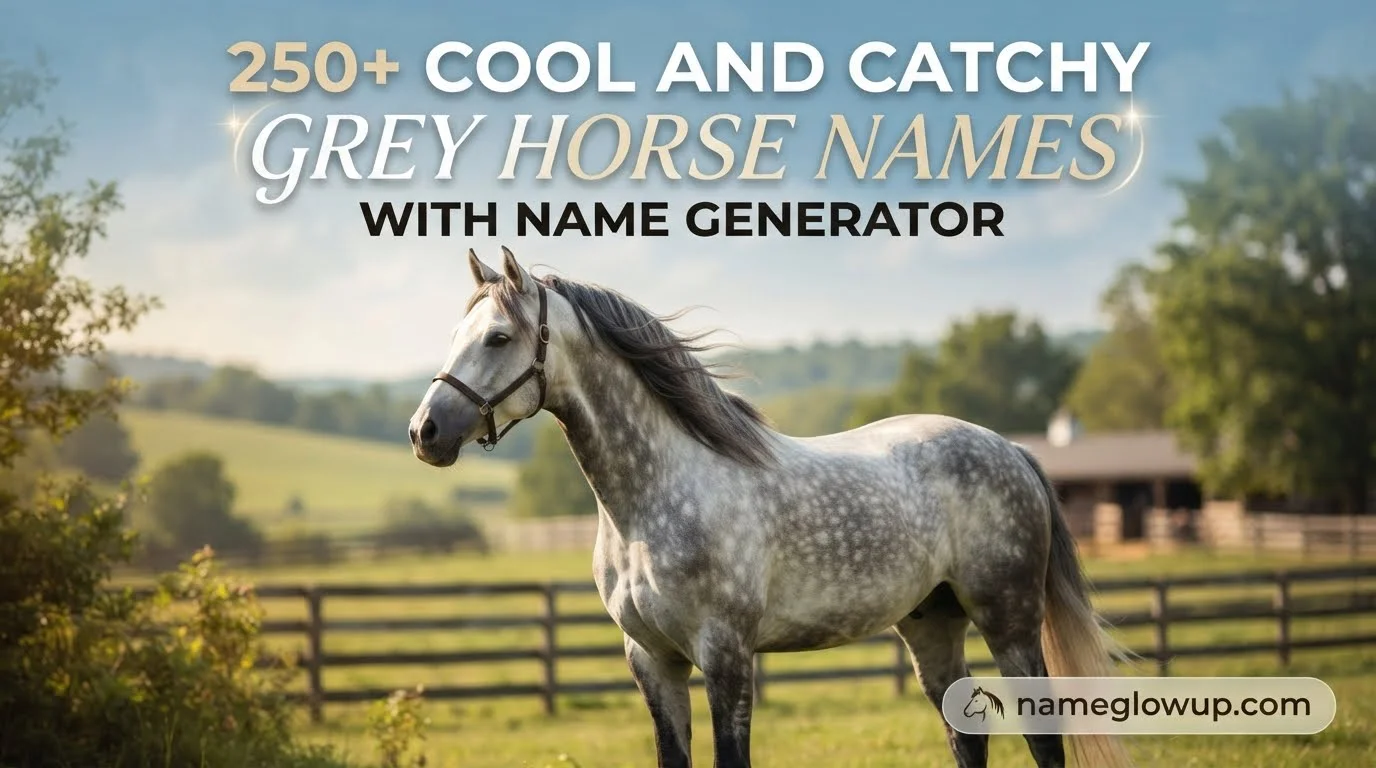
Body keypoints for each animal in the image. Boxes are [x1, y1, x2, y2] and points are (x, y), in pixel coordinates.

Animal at [408, 247, 1133, 768]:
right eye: (458, 333)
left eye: (498, 338)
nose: (425, 432)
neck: (652, 502)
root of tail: (1010, 448)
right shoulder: (652, 660)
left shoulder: (726, 655)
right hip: (932, 623)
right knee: (967, 734)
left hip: (1008, 620)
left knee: (1042, 739)